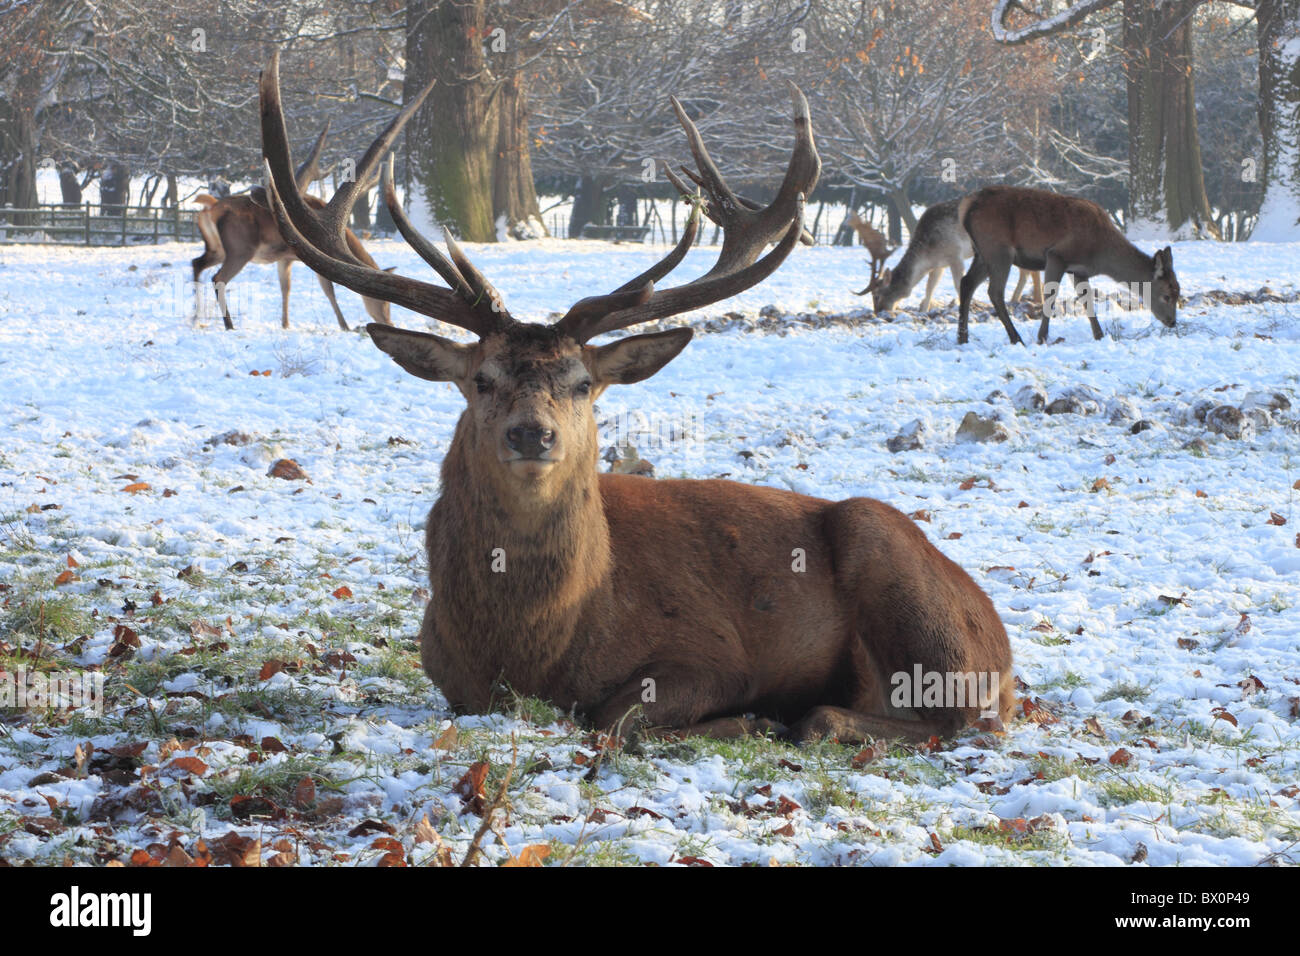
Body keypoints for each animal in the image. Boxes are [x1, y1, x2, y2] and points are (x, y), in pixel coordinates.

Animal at [189, 121, 391, 331]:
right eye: (385, 302)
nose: (388, 321)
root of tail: (211, 209)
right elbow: (328, 290)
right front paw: (344, 326)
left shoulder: (285, 258)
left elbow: (285, 288)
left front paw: (285, 323)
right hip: (241, 249)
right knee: (218, 277)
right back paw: (228, 325)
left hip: (217, 248)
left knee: (197, 263)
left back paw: (195, 317)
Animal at [258, 51, 1015, 745]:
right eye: (481, 380)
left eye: (582, 384)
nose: (532, 434)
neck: (531, 651)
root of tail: (1003, 654)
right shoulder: (446, 675)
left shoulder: (711, 652)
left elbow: (611, 716)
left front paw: (743, 718)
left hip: (901, 577)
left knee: (945, 720)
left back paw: (801, 717)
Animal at [855, 199, 1042, 314]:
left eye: (877, 295)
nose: (878, 312)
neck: (929, 252)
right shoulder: (939, 265)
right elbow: (930, 287)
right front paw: (924, 310)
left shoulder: (955, 255)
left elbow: (958, 284)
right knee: (1026, 272)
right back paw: (1016, 300)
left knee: (1032, 271)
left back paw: (1035, 300)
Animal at [956, 185, 1179, 346]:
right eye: (1166, 296)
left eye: (1178, 293)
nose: (1172, 322)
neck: (1100, 253)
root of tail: (966, 206)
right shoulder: (1057, 255)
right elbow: (1049, 297)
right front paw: (1042, 338)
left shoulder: (1079, 270)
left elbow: (1087, 301)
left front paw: (1099, 336)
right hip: (998, 250)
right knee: (994, 291)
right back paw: (1016, 338)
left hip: (982, 253)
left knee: (967, 282)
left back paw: (962, 338)